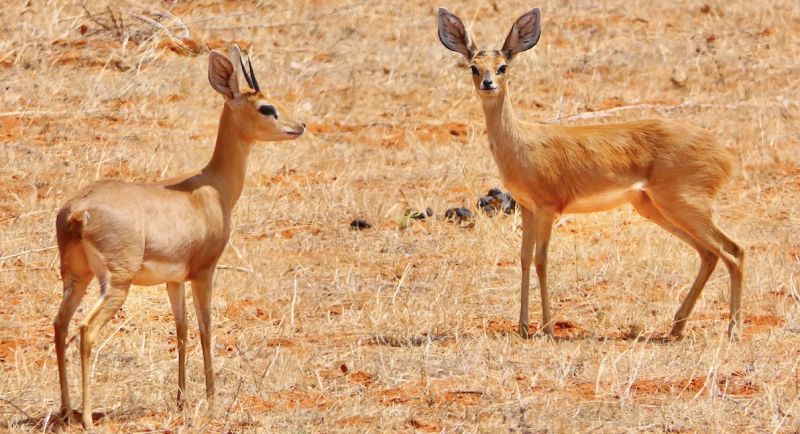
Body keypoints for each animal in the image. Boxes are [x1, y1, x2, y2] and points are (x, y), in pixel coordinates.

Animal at [50, 45, 306, 428]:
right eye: (266, 107)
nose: (299, 126)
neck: (210, 187)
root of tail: (78, 212)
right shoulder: (204, 272)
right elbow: (205, 328)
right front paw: (212, 398)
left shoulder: (174, 280)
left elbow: (181, 330)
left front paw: (182, 398)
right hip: (116, 283)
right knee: (85, 330)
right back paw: (88, 419)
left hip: (75, 277)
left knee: (60, 325)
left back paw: (67, 410)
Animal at [438, 5, 744, 340]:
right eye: (474, 67)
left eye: (502, 66)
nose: (488, 84)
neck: (520, 142)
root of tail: (722, 154)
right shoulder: (528, 209)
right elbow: (523, 258)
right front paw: (522, 327)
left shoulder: (547, 208)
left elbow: (541, 260)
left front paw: (548, 329)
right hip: (654, 207)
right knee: (710, 254)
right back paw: (677, 328)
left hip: (684, 205)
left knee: (733, 250)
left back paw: (732, 331)